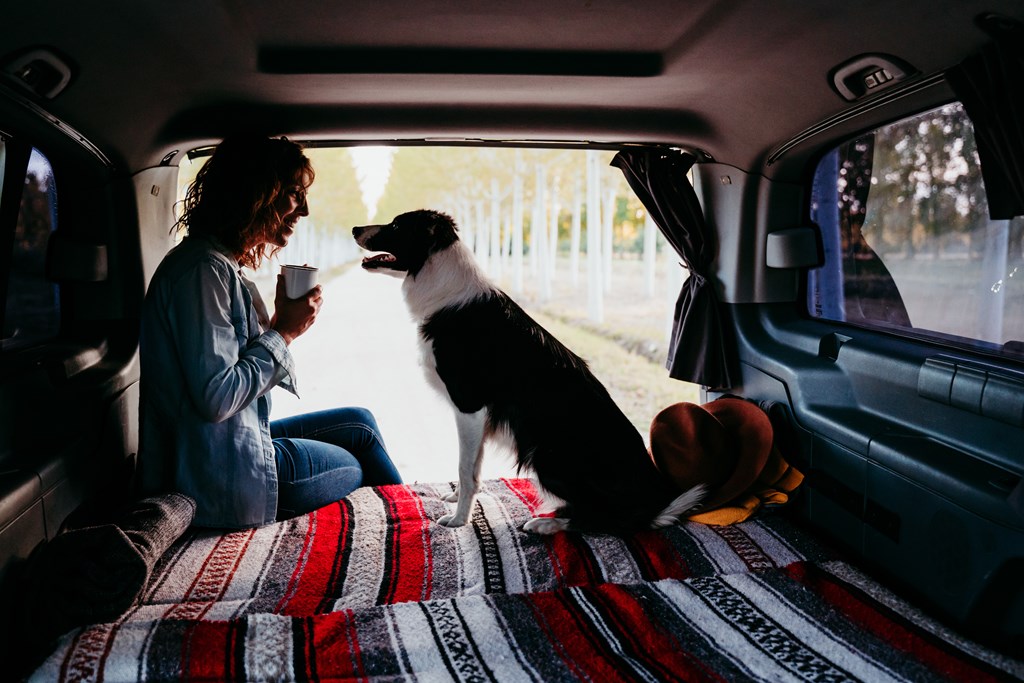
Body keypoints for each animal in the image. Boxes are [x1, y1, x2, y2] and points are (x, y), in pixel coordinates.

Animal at [354, 208, 704, 532]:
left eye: (396, 224)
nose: (356, 227)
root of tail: (653, 501)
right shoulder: (478, 417)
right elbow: (473, 468)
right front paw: (457, 501)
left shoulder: (469, 405)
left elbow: (465, 469)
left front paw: (458, 520)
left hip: (546, 455)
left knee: (608, 518)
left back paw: (547, 525)